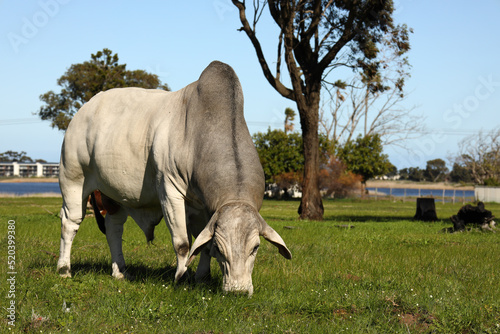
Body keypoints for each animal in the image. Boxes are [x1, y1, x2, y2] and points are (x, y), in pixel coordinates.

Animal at [56, 60, 292, 294]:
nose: (238, 290)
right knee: (70, 222)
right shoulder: (170, 191)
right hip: (73, 178)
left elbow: (202, 244)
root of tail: (85, 109)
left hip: (113, 194)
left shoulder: (202, 208)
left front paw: (203, 277)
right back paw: (64, 269)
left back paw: (121, 271)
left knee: (114, 227)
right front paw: (182, 276)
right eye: (220, 247)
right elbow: (183, 243)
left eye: (256, 247)